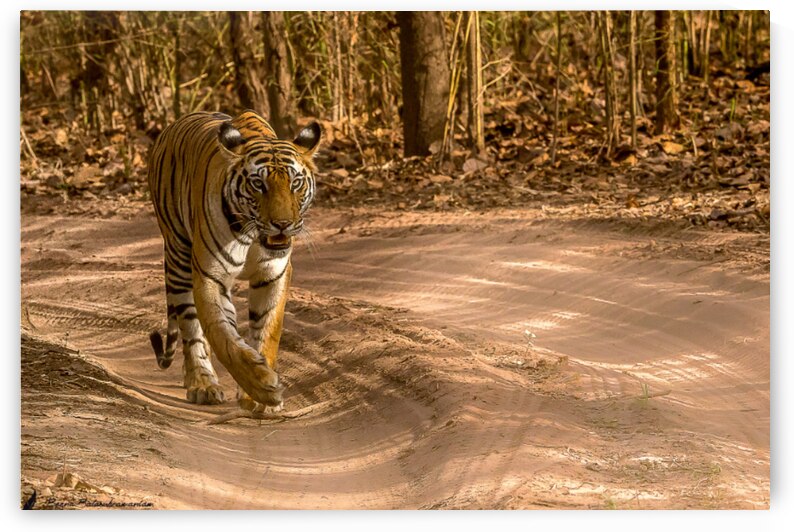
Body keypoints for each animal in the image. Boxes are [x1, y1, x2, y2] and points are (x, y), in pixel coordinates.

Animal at [147, 110, 321, 410]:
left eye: (295, 183)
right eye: (258, 184)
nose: (282, 225)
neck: (253, 235)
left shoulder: (273, 275)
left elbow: (267, 331)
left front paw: (257, 398)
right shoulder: (209, 275)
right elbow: (222, 336)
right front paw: (261, 386)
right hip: (179, 256)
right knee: (191, 327)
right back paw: (202, 383)